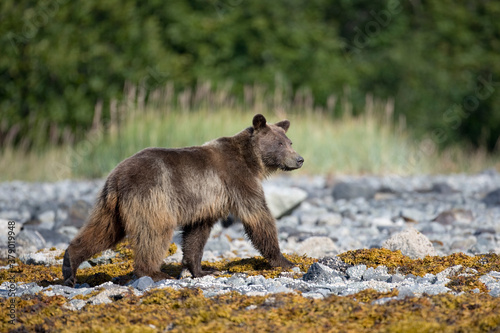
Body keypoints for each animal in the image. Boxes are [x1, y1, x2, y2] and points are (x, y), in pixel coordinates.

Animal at [62, 113, 304, 284]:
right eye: (280, 143)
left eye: (290, 141)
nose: (300, 159)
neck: (252, 160)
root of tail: (117, 176)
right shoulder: (237, 180)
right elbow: (258, 216)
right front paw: (285, 260)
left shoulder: (206, 202)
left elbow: (196, 234)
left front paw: (202, 269)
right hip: (152, 195)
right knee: (154, 231)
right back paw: (154, 272)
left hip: (111, 205)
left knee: (103, 231)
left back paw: (69, 265)